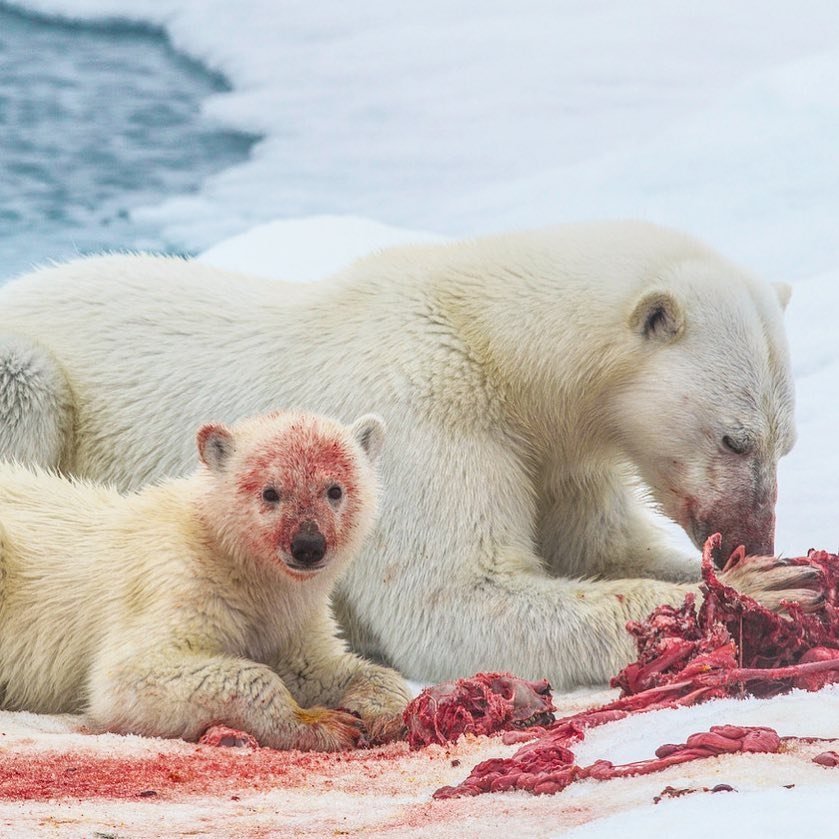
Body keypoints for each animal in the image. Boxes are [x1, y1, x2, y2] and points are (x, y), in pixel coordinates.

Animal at [0, 223, 820, 688]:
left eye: (786, 441)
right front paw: (764, 590)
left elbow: (600, 546)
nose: (754, 535)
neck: (490, 338)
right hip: (34, 376)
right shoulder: (423, 416)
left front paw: (770, 571)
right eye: (734, 437)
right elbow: (457, 599)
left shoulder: (556, 452)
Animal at [0, 410, 410, 752]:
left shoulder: (291, 615)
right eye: (271, 491)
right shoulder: (180, 582)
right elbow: (131, 676)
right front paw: (324, 723)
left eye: (335, 489)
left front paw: (385, 714)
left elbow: (317, 666)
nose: (308, 545)